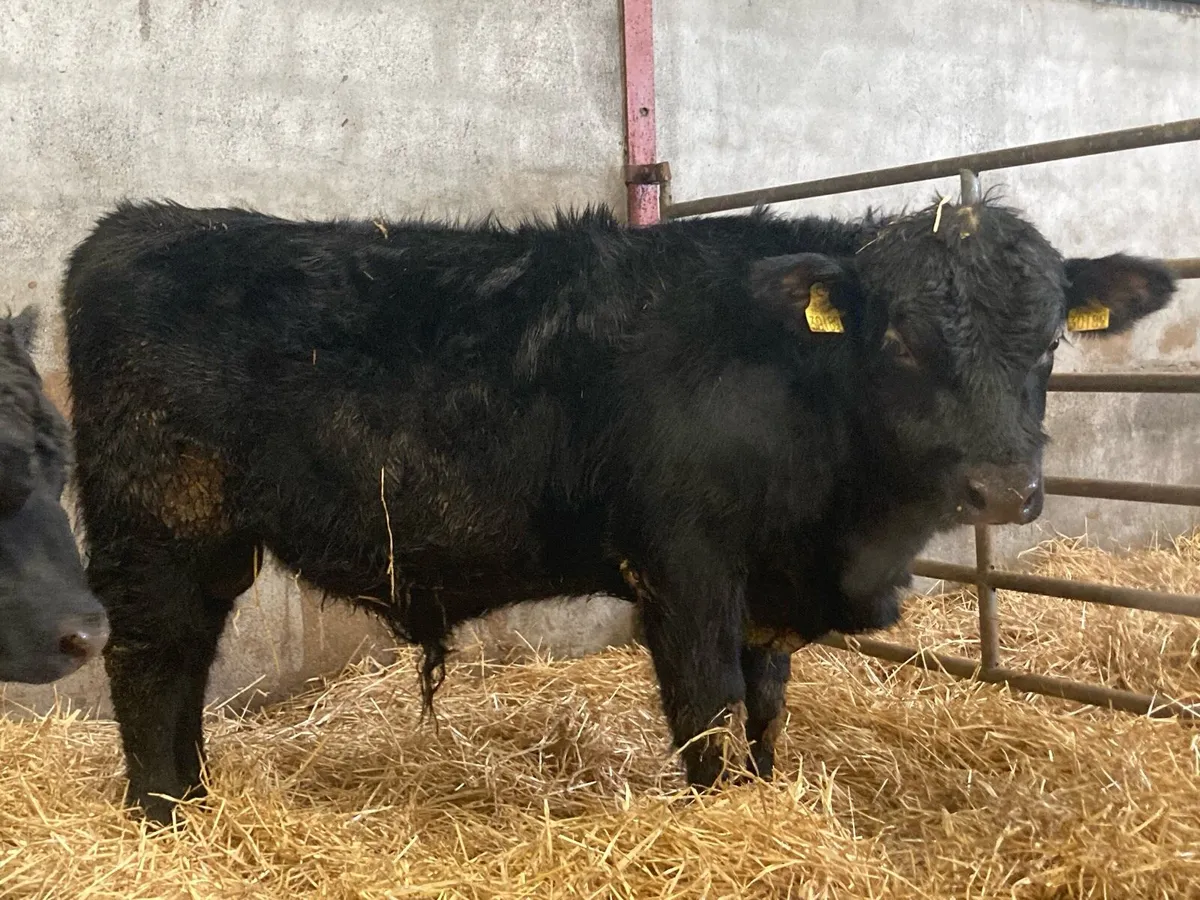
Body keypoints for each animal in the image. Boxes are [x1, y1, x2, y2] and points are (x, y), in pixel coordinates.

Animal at [60, 195, 1176, 825]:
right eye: (901, 338)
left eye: (1049, 342)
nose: (1004, 489)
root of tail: (146, 221)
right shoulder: (685, 572)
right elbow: (708, 714)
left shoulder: (763, 589)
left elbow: (764, 712)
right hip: (156, 527)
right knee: (153, 666)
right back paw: (164, 819)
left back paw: (194, 801)